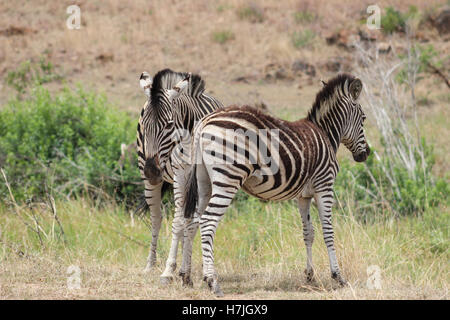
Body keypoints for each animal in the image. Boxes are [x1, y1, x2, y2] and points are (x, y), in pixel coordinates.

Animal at [136, 68, 222, 272]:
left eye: (168, 124)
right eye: (144, 123)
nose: (152, 172)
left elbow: (191, 221)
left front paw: (186, 265)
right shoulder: (180, 174)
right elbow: (178, 221)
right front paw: (170, 267)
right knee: (156, 218)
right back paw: (151, 264)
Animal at [178, 74, 370, 296]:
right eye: (363, 118)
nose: (366, 154)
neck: (326, 134)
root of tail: (205, 121)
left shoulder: (303, 195)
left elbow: (308, 232)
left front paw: (310, 275)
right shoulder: (325, 185)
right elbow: (328, 231)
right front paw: (338, 276)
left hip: (204, 182)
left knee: (192, 221)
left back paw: (187, 277)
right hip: (228, 178)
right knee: (208, 222)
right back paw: (212, 282)